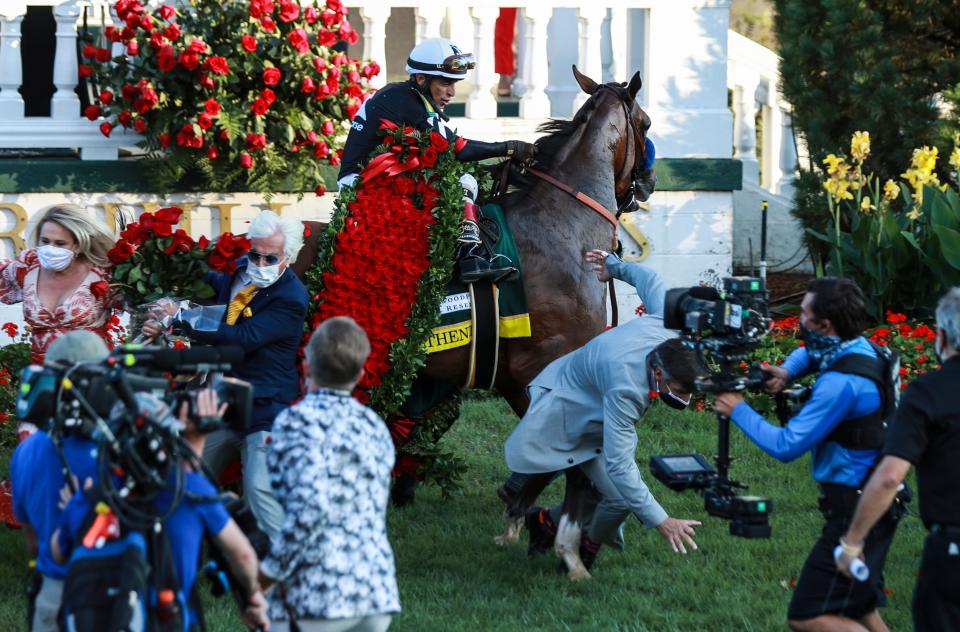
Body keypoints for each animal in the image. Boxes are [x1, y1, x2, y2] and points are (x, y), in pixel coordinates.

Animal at [292, 65, 652, 576]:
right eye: (644, 123)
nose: (649, 182)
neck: (564, 227)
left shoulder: (519, 378)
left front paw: (527, 515)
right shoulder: (540, 370)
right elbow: (572, 461)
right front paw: (562, 541)